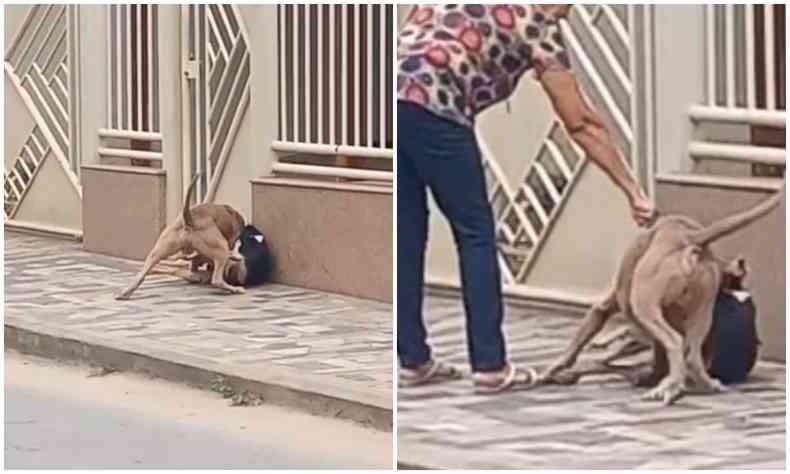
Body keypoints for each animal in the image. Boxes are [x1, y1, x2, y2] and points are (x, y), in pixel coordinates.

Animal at [116, 174, 246, 300]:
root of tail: (190, 220)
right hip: (221, 248)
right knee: (217, 279)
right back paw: (235, 288)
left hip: (159, 250)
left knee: (142, 273)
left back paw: (125, 292)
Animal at [540, 184, 784, 404]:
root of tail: (690, 236)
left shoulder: (603, 308)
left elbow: (577, 345)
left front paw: (552, 371)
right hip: (702, 312)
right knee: (690, 355)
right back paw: (702, 384)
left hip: (643, 303)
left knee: (674, 343)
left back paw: (669, 386)